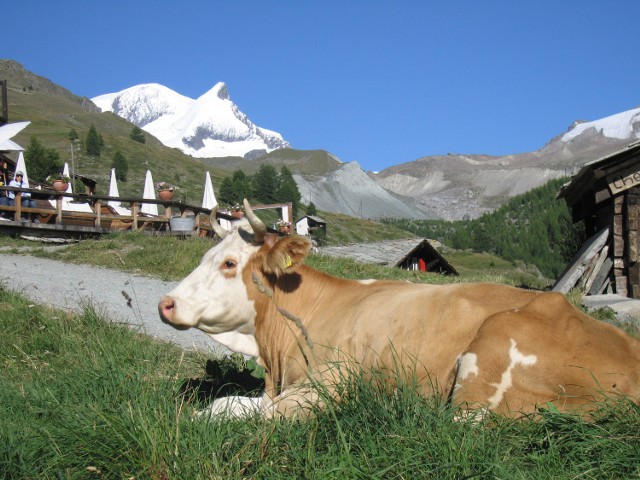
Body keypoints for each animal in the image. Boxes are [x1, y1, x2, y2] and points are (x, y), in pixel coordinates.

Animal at [159, 201, 640, 418]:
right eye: (208, 254)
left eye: (229, 263)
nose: (166, 303)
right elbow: (224, 406)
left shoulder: (335, 381)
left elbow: (257, 417)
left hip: (487, 367)